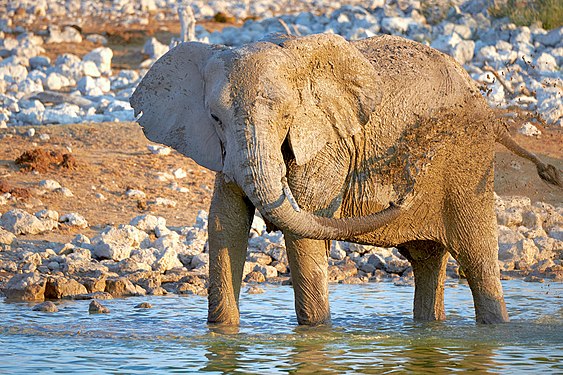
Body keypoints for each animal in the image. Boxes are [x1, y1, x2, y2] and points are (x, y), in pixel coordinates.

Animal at [131, 32, 560, 326]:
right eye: (215, 118)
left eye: (287, 116)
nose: (403, 188)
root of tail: (488, 107)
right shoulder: (226, 152)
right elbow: (225, 224)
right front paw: (222, 334)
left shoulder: (326, 145)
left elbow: (302, 232)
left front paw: (316, 334)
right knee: (427, 260)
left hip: (468, 160)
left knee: (477, 259)